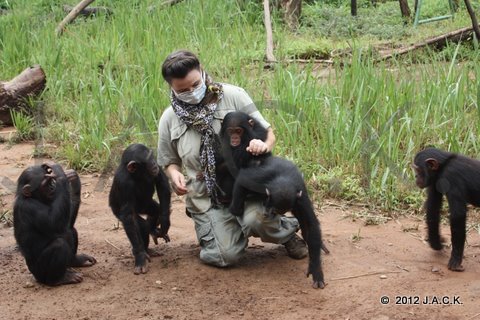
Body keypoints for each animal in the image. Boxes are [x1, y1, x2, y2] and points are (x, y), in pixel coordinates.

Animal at [109, 144, 171, 274]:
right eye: (149, 158)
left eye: (152, 156)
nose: (154, 162)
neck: (137, 174)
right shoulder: (123, 183)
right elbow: (128, 217)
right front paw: (140, 258)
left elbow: (161, 182)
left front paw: (164, 222)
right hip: (116, 210)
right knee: (139, 225)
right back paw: (144, 250)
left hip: (146, 205)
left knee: (155, 211)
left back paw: (153, 232)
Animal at [220, 111, 326, 288]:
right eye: (231, 131)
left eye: (238, 131)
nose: (272, 212)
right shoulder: (257, 178)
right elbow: (242, 179)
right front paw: (235, 209)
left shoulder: (301, 198)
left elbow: (310, 225)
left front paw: (316, 269)